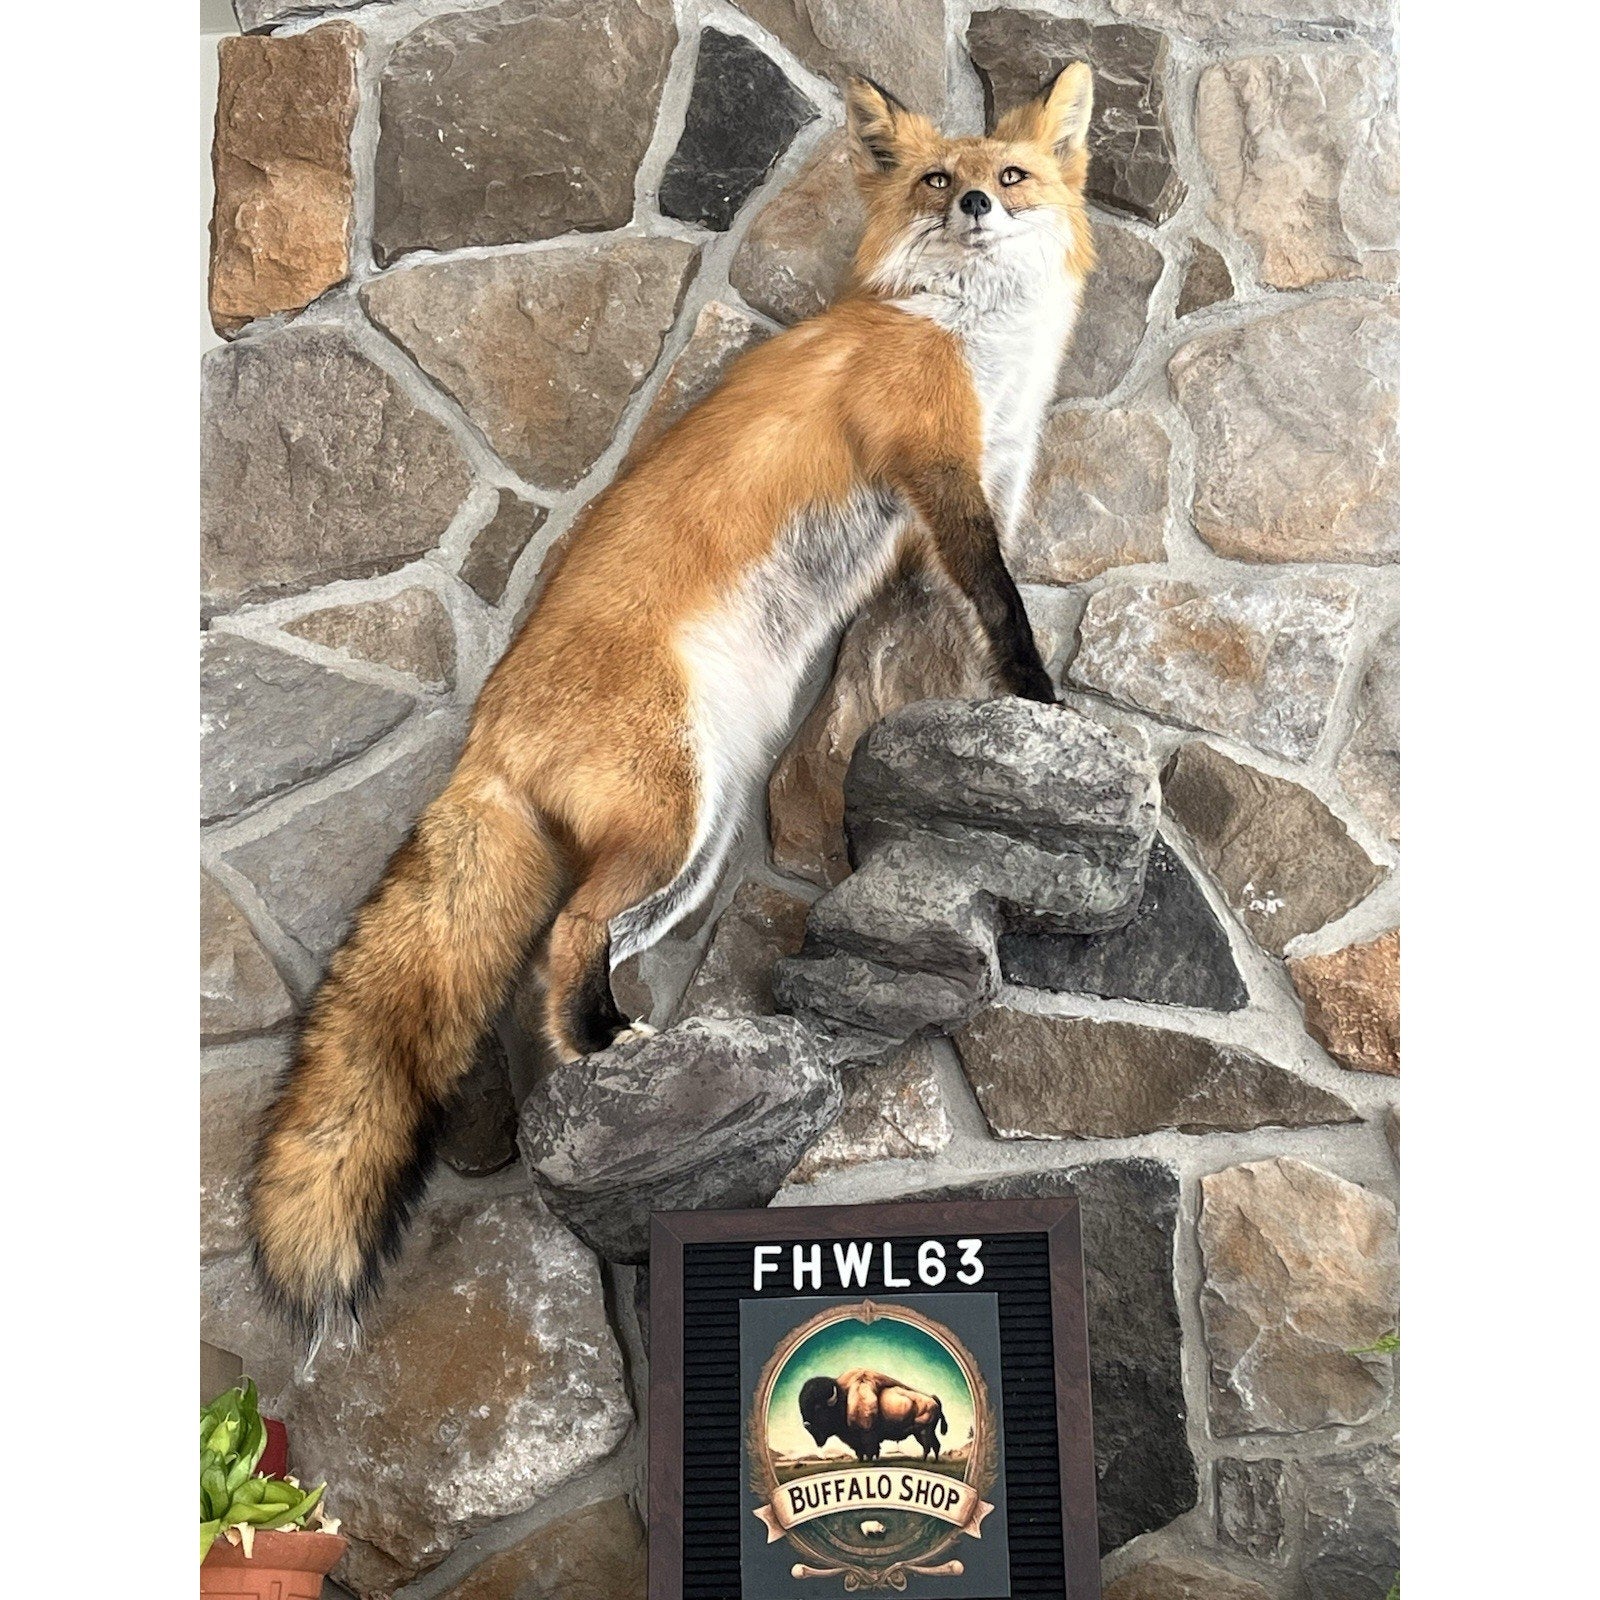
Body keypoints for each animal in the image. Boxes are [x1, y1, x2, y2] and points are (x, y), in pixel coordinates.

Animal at [251, 66, 1099, 1334]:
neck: (955, 329)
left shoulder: (964, 501)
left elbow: (946, 622)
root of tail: (488, 730)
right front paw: (1042, 697)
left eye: (1011, 174)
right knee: (560, 940)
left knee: (567, 955)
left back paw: (611, 1042)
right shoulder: (940, 474)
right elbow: (1003, 613)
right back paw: (610, 1048)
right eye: (932, 180)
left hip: (691, 847)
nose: (974, 210)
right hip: (673, 816)